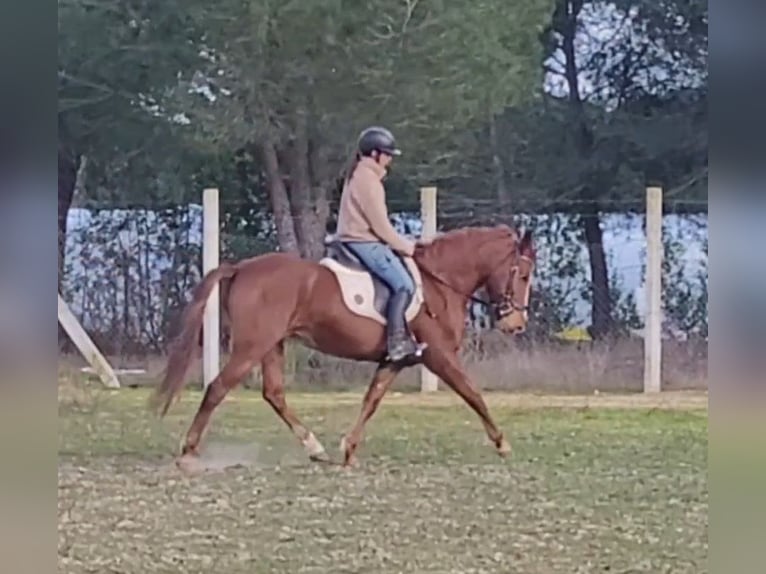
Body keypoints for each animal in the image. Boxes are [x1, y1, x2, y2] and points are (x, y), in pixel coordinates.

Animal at [151, 223, 537, 469]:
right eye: (523, 274)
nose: (516, 325)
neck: (439, 283)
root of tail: (242, 267)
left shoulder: (394, 361)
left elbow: (372, 400)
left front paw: (348, 450)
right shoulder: (439, 356)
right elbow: (473, 394)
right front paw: (502, 443)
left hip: (271, 345)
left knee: (274, 394)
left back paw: (315, 448)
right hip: (251, 347)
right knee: (217, 388)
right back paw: (188, 451)